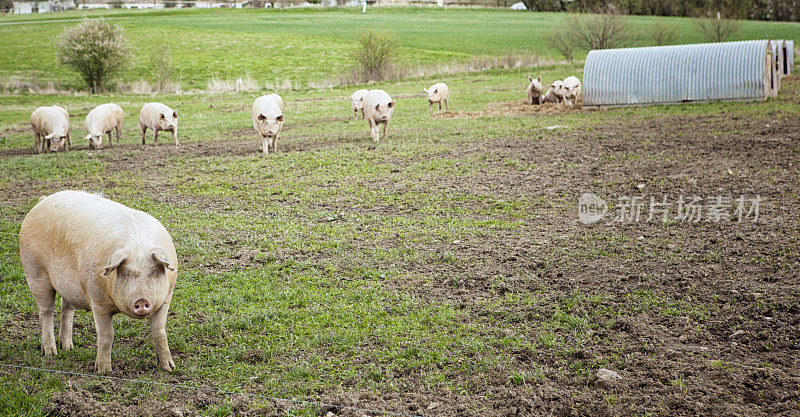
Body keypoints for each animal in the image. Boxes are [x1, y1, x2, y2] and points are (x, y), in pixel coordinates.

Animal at [19, 190, 179, 372]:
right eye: (126, 273)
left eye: (154, 272)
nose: (142, 300)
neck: (137, 246)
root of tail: (42, 201)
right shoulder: (97, 301)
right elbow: (107, 335)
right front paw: (103, 371)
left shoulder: (165, 298)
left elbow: (159, 331)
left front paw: (169, 367)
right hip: (35, 272)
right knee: (45, 312)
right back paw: (51, 353)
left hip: (68, 286)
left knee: (67, 309)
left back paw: (68, 347)